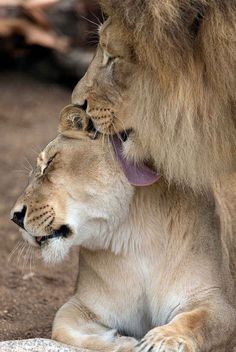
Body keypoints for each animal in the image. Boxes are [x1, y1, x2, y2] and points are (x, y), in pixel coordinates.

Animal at [10, 107, 236, 352]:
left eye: (49, 163)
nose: (15, 217)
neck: (135, 234)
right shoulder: (83, 304)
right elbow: (61, 327)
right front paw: (124, 342)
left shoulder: (216, 301)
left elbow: (196, 320)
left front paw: (162, 340)